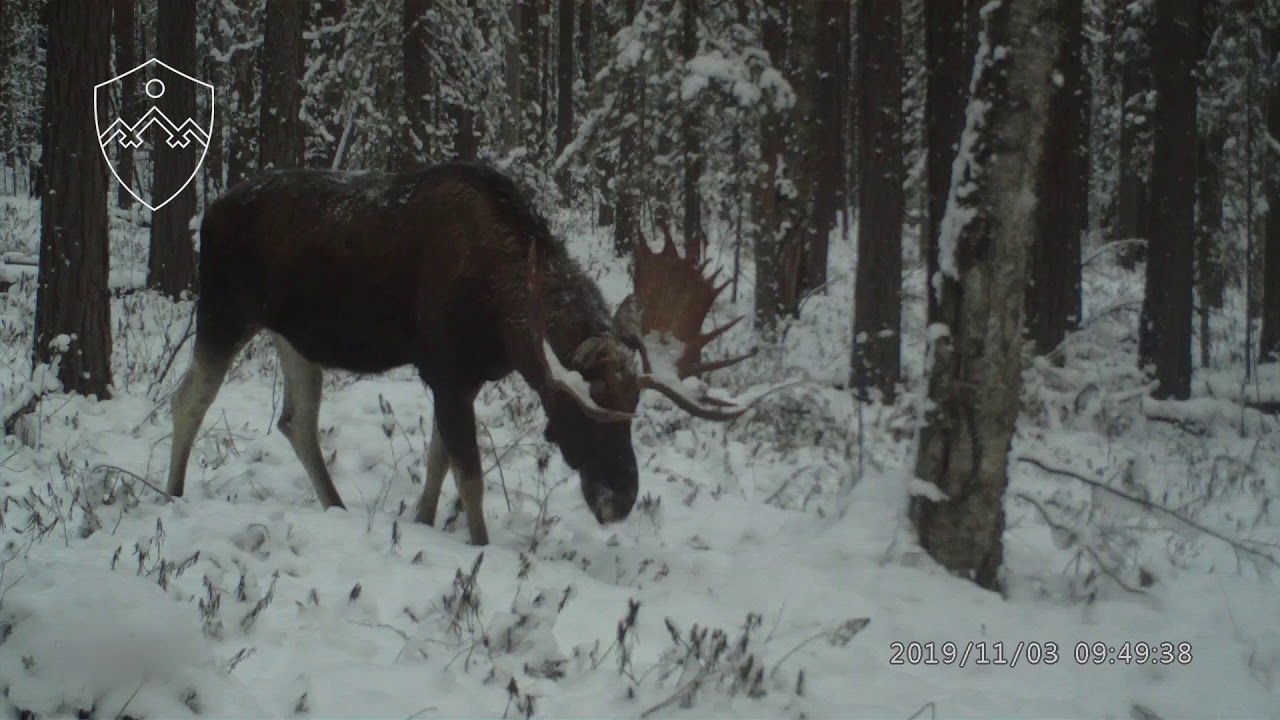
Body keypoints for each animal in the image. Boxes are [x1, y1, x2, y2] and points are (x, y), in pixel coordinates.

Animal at [160, 161, 778, 543]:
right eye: (580, 413)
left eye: (635, 413)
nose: (621, 500)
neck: (501, 308)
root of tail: (206, 214)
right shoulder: (447, 371)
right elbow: (472, 478)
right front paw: (477, 548)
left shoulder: (464, 376)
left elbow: (440, 462)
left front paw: (422, 520)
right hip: (222, 312)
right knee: (188, 399)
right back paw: (172, 495)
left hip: (294, 337)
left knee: (296, 420)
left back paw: (334, 504)